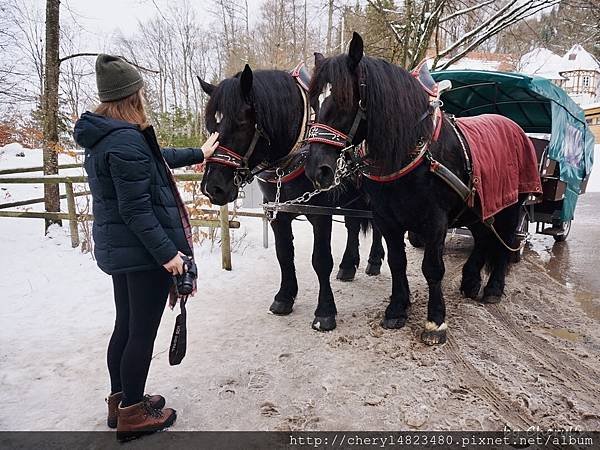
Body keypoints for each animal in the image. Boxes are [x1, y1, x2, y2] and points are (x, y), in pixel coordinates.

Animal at [197, 64, 384, 330]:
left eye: (241, 123)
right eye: (210, 124)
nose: (213, 188)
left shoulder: (320, 213)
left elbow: (321, 260)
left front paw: (325, 312)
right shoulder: (277, 212)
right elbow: (284, 254)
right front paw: (284, 298)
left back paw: (374, 261)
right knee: (353, 225)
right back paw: (348, 266)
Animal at [308, 33, 536, 344]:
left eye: (345, 100)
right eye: (313, 102)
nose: (316, 169)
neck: (415, 154)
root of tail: (515, 127)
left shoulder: (435, 221)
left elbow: (432, 268)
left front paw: (435, 321)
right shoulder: (387, 219)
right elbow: (397, 262)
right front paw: (396, 309)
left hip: (511, 207)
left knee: (504, 242)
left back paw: (493, 288)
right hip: (478, 208)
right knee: (482, 238)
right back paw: (471, 280)